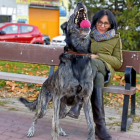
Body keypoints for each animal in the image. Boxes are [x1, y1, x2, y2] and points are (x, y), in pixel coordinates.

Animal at [19, 2, 95, 140]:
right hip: (44, 107)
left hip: (63, 109)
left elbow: (91, 125)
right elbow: (54, 124)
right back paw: (31, 131)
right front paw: (54, 134)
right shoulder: (58, 97)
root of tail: (44, 84)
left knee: (57, 118)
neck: (78, 55)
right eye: (71, 15)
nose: (80, 3)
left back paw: (61, 131)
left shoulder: (86, 99)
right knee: (38, 117)